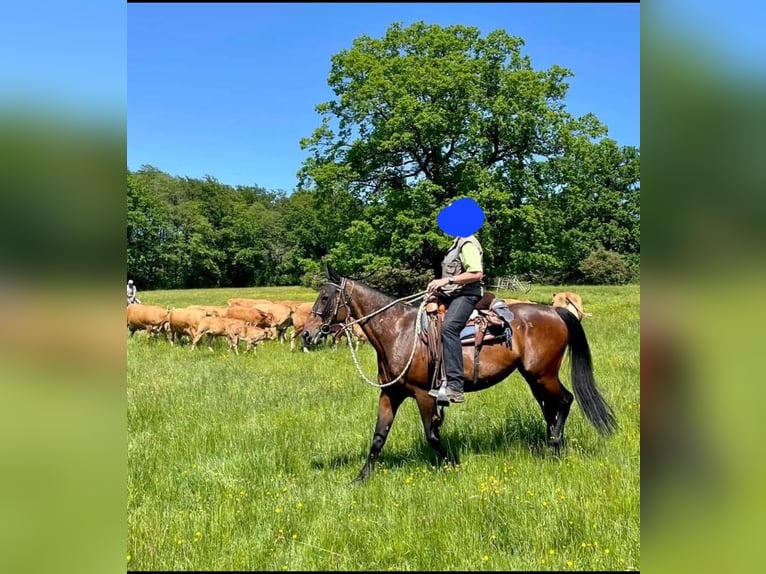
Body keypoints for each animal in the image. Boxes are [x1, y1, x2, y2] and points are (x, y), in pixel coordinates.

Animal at [306, 268, 616, 484]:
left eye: (325, 297)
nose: (308, 334)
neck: (398, 332)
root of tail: (555, 311)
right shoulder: (390, 393)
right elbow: (378, 438)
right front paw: (360, 478)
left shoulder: (423, 394)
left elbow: (432, 435)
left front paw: (452, 466)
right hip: (534, 377)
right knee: (550, 408)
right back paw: (552, 447)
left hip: (544, 374)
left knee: (565, 401)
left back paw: (554, 448)